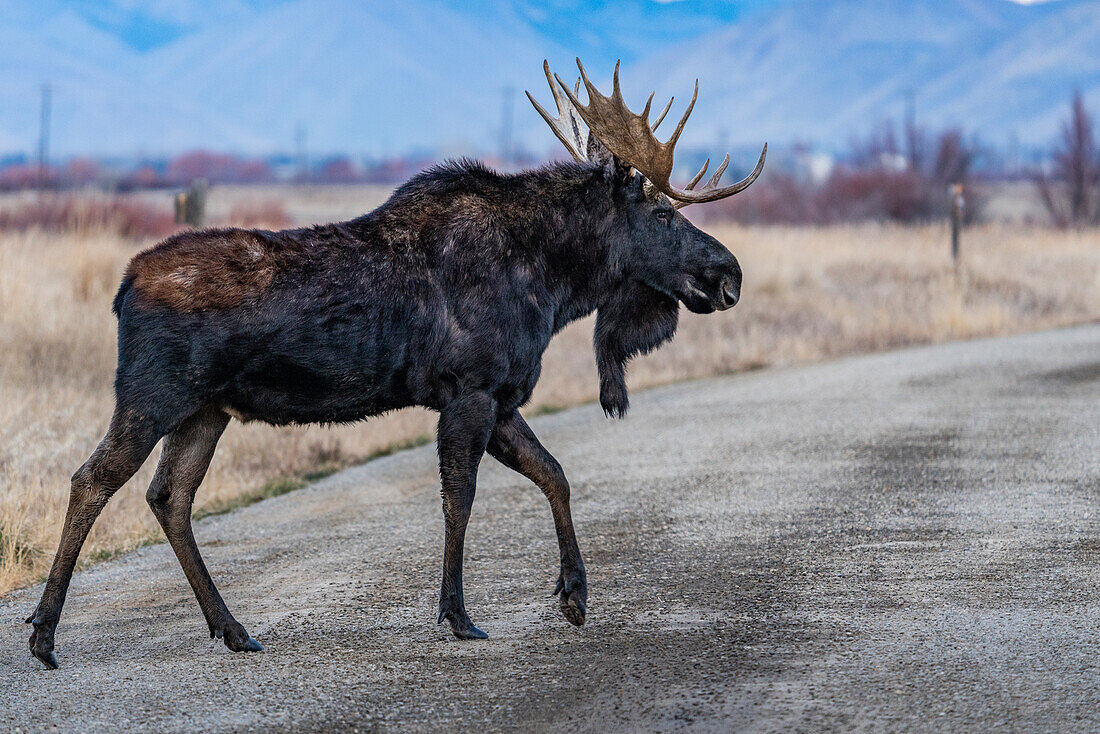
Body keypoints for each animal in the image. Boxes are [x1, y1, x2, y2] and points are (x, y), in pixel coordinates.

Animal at [27, 61, 765, 673]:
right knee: (92, 480)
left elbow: (554, 475)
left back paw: (233, 628)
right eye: (664, 212)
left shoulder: (501, 398)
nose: (728, 273)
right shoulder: (470, 391)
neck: (555, 288)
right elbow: (460, 497)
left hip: (206, 409)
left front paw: (574, 596)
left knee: (169, 497)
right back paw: (44, 634)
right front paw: (459, 615)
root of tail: (123, 286)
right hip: (152, 393)